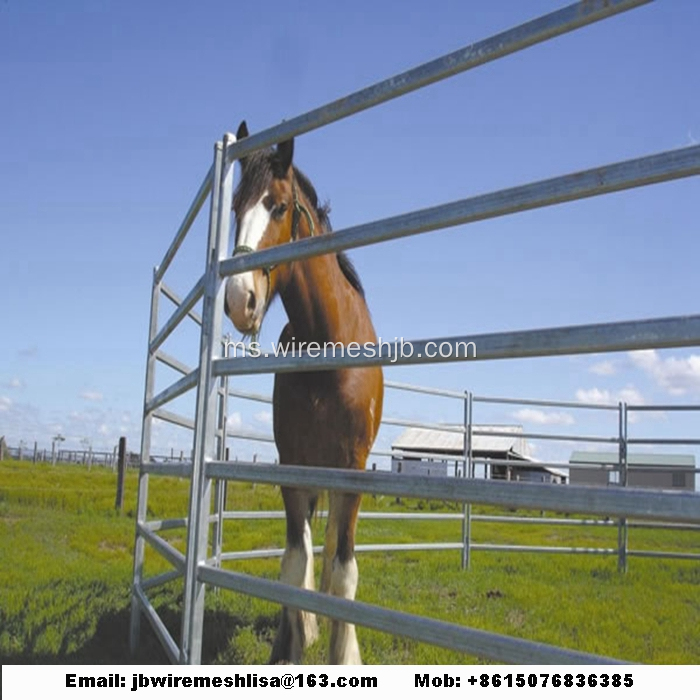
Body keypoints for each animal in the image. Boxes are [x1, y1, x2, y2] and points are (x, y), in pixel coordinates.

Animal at [223, 119, 382, 660]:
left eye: (277, 206)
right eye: (235, 208)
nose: (239, 299)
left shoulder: (350, 472)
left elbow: (345, 570)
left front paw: (344, 653)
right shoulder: (292, 467)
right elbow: (294, 564)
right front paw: (289, 647)